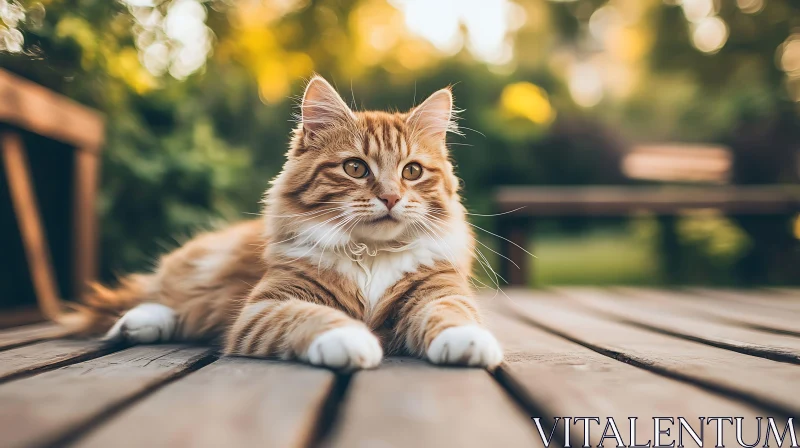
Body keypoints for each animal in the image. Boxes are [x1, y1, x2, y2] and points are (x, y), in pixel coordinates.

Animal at [83, 76, 506, 372]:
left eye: (412, 171)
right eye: (355, 168)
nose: (390, 197)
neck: (371, 254)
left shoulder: (439, 291)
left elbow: (451, 313)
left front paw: (468, 340)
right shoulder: (266, 306)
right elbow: (313, 317)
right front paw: (352, 340)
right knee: (159, 298)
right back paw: (135, 323)